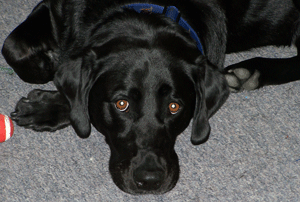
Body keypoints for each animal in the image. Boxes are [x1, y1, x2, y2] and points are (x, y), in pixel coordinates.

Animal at [2, 0, 300, 195]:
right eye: (121, 104)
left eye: (174, 106)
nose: (150, 181)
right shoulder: (53, 9)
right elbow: (13, 48)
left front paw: (50, 105)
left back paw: (249, 72)